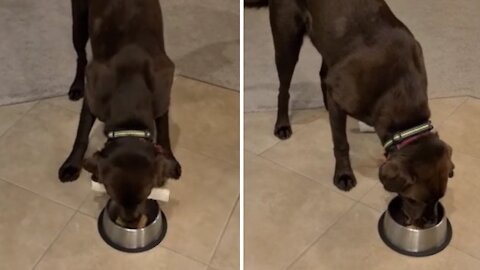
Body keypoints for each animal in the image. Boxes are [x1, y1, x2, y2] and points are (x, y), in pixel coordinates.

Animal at [58, 0, 182, 227]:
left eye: (146, 195)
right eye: (111, 193)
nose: (131, 223)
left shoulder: (163, 95)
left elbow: (164, 132)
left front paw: (171, 161)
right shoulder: (93, 95)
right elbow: (81, 135)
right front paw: (72, 164)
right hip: (78, 23)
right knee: (81, 56)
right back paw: (76, 87)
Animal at [248, 0, 454, 228]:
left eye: (440, 197)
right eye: (414, 199)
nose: (430, 222)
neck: (398, 87)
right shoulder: (340, 101)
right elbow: (341, 143)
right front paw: (343, 175)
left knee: (323, 74)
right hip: (287, 42)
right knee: (283, 89)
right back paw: (283, 125)